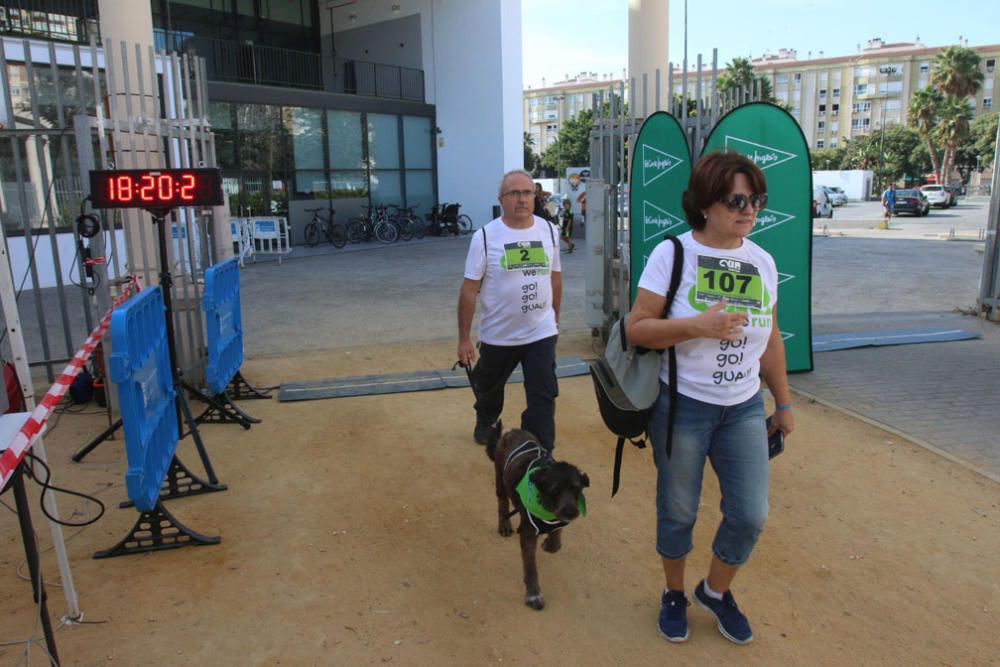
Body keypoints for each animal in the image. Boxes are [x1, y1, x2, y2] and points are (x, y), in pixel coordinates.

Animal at [488, 428, 588, 612]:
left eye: (576, 489)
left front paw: (548, 543)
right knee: (502, 501)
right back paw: (504, 525)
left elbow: (556, 541)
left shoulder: (558, 521)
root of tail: (513, 431)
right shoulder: (528, 535)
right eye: (555, 490)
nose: (571, 512)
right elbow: (530, 568)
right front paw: (533, 595)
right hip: (500, 479)